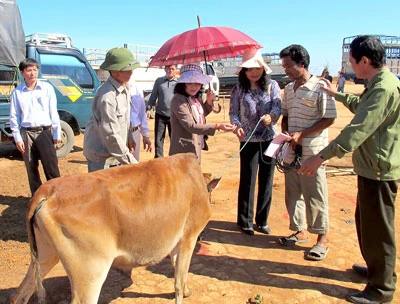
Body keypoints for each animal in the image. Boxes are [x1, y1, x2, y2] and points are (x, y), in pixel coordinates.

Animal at [10, 154, 219, 304]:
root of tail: (49, 190)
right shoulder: (188, 238)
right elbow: (178, 280)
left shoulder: (178, 242)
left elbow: (178, 272)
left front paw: (187, 290)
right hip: (90, 273)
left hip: (45, 255)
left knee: (19, 294)